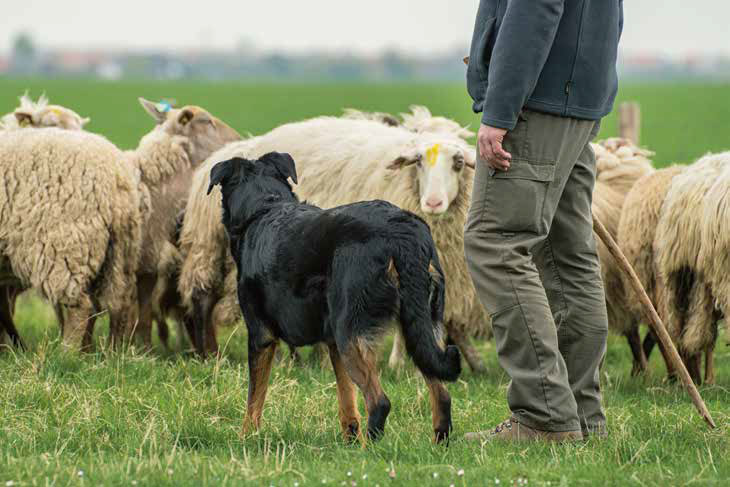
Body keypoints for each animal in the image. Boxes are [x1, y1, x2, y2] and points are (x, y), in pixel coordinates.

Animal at [179, 116, 492, 372]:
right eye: (418, 162)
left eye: (459, 163)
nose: (434, 203)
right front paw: (402, 364)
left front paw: (471, 364)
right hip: (213, 252)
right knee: (204, 300)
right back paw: (213, 355)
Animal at [209, 153, 460, 446]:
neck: (264, 207)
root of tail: (402, 232)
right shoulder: (332, 344)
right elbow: (347, 401)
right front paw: (349, 441)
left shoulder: (261, 336)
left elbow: (254, 398)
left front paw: (246, 437)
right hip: (418, 326)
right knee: (442, 394)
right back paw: (436, 445)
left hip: (350, 333)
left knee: (379, 402)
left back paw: (370, 450)